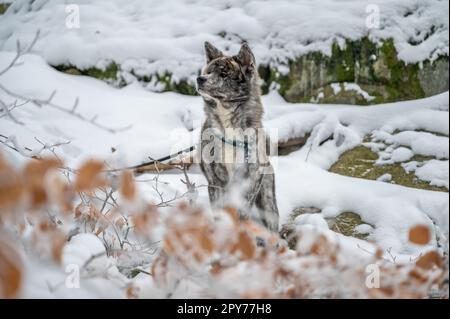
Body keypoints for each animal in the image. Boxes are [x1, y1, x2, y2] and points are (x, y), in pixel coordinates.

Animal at [196, 42, 278, 232]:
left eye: (224, 74)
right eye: (208, 71)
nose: (199, 79)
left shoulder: (250, 181)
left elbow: (242, 215)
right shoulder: (216, 181)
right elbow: (219, 214)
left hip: (268, 204)